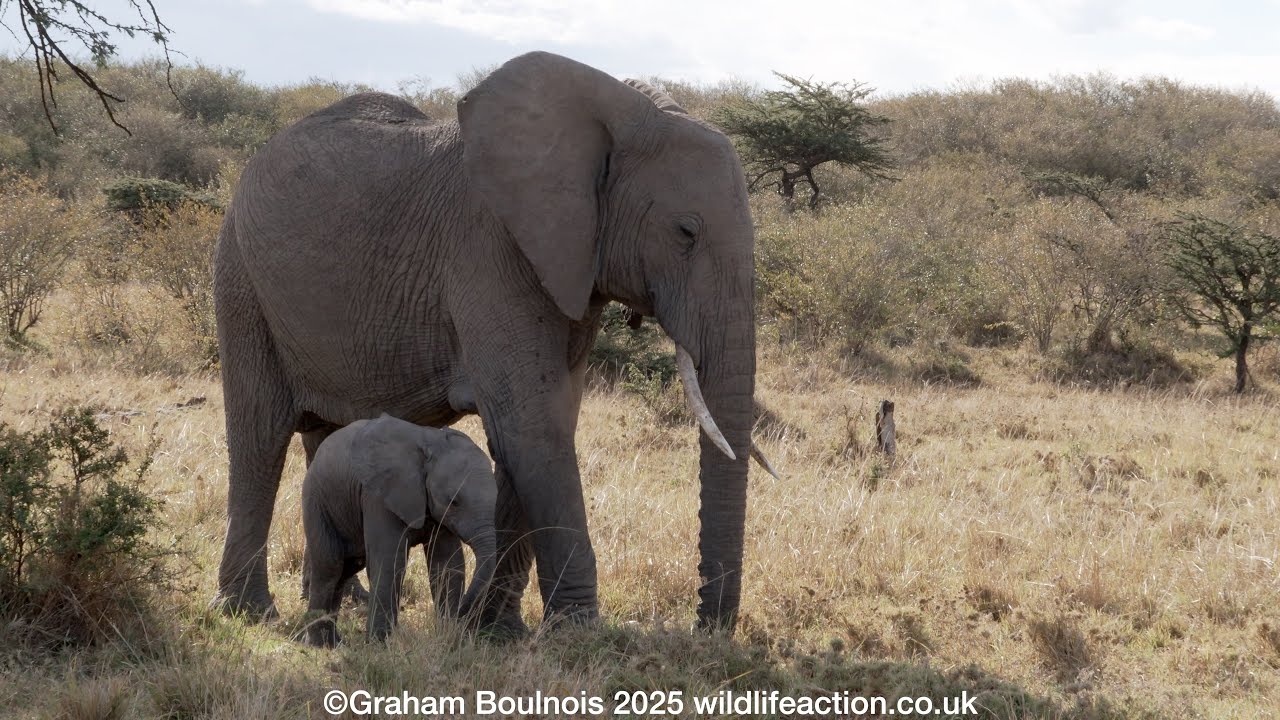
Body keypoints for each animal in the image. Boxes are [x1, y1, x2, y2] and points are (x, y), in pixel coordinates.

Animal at [300, 414, 496, 647]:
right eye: (454, 502)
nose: (463, 616)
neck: (431, 444)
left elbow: (447, 565)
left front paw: (451, 637)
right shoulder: (378, 495)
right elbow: (390, 562)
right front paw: (379, 645)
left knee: (346, 569)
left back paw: (334, 642)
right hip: (317, 501)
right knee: (330, 566)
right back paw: (320, 644)